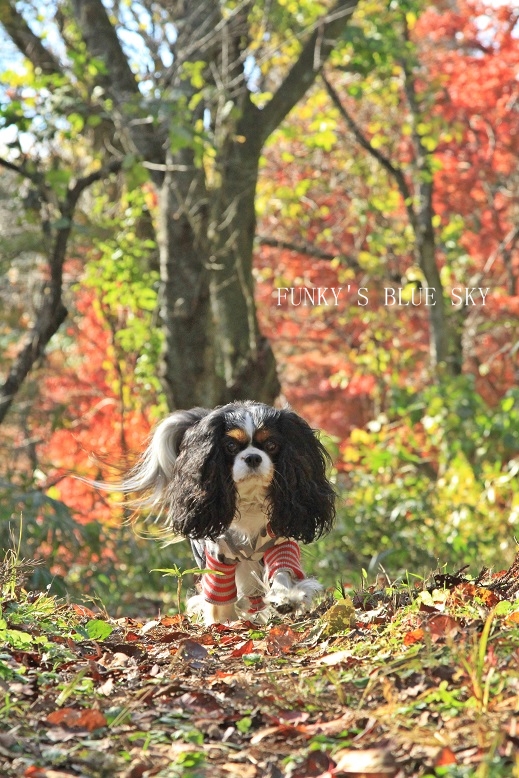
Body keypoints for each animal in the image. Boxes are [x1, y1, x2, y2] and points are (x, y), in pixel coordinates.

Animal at [120, 400, 336, 624]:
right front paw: (224, 621)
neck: (250, 501)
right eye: (230, 446)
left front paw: (285, 597)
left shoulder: (279, 543)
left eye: (271, 445)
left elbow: (282, 571)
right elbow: (219, 595)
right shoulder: (218, 555)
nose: (252, 457)